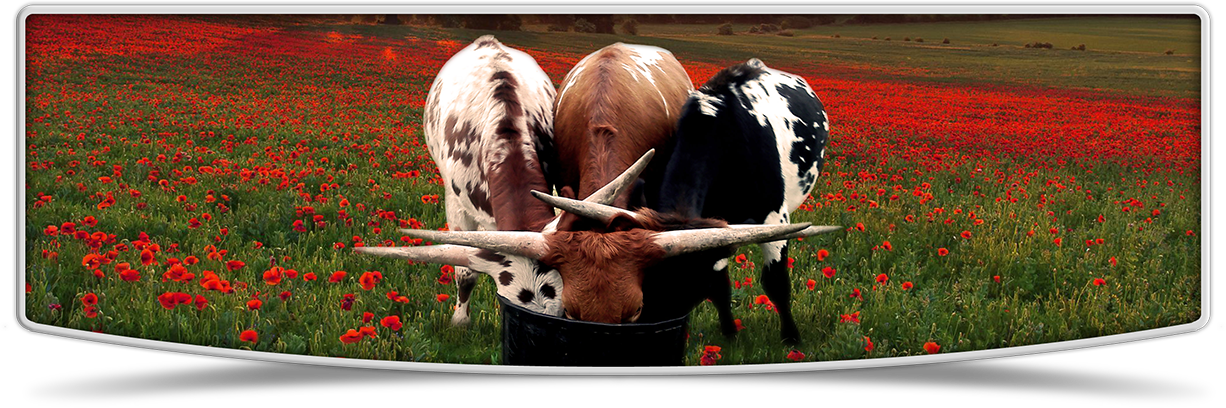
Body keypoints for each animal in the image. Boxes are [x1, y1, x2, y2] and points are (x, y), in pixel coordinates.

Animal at [642, 57, 833, 343]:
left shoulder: (775, 217)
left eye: (682, 284)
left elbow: (776, 282)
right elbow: (721, 286)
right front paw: (730, 334)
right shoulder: (715, 229)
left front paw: (791, 338)